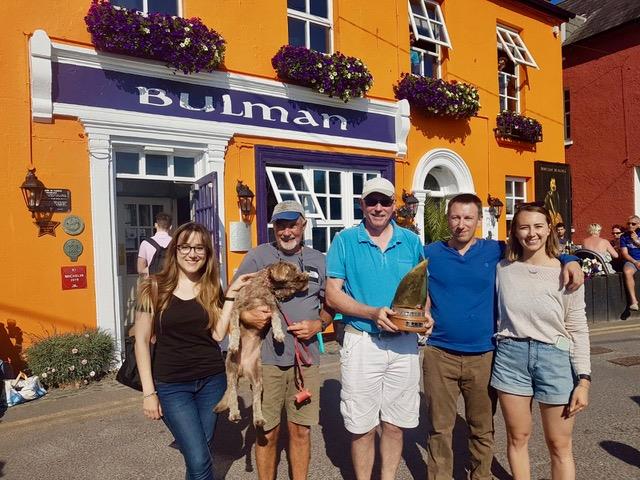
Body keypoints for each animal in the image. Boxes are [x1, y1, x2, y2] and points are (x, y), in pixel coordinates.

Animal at [214, 262, 308, 428]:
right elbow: (235, 327)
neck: (262, 288)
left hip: (258, 377)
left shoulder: (272, 307)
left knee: (257, 399)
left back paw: (258, 418)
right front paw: (233, 343)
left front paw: (278, 334)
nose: (307, 279)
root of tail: (243, 370)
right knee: (232, 394)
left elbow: (276, 319)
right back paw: (234, 414)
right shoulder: (237, 309)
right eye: (296, 275)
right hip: (231, 373)